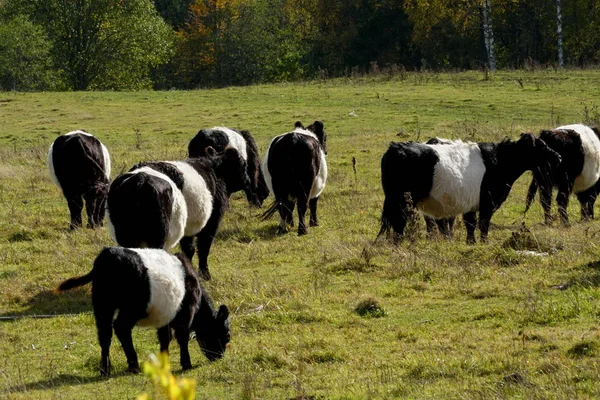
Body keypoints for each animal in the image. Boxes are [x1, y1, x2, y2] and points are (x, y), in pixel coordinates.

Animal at [55, 248, 231, 376]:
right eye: (227, 335)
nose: (220, 356)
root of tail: (108, 254)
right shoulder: (186, 314)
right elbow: (182, 338)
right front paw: (186, 364)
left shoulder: (165, 317)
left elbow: (165, 338)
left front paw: (164, 363)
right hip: (132, 309)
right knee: (120, 327)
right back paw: (133, 365)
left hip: (103, 306)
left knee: (105, 334)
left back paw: (105, 369)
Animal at [106, 145, 250, 280]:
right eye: (243, 164)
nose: (248, 181)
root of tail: (140, 178)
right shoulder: (212, 223)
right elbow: (203, 248)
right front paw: (205, 275)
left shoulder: (188, 227)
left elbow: (188, 250)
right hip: (157, 235)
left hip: (126, 235)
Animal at [380, 134, 564, 244]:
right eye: (541, 146)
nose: (558, 157)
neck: (499, 161)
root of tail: (396, 148)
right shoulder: (487, 203)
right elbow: (483, 225)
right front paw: (484, 243)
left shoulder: (471, 205)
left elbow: (470, 225)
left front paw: (471, 244)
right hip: (401, 202)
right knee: (399, 224)